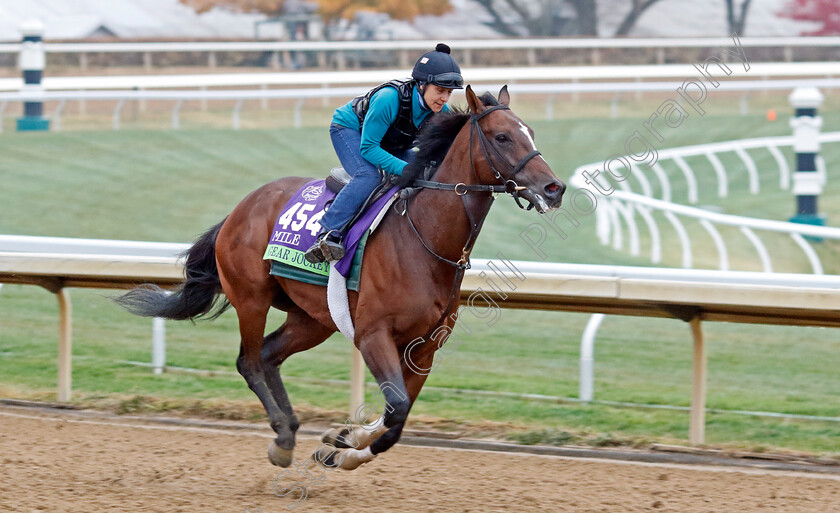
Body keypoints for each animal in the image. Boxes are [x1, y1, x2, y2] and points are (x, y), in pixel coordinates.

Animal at [116, 85, 564, 472]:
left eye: (531, 132)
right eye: (502, 136)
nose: (554, 187)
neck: (424, 239)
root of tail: (240, 208)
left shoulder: (425, 349)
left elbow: (398, 417)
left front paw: (343, 446)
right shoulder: (372, 334)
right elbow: (397, 406)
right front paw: (346, 439)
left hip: (313, 318)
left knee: (269, 355)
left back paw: (291, 430)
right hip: (251, 297)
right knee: (249, 361)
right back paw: (282, 439)